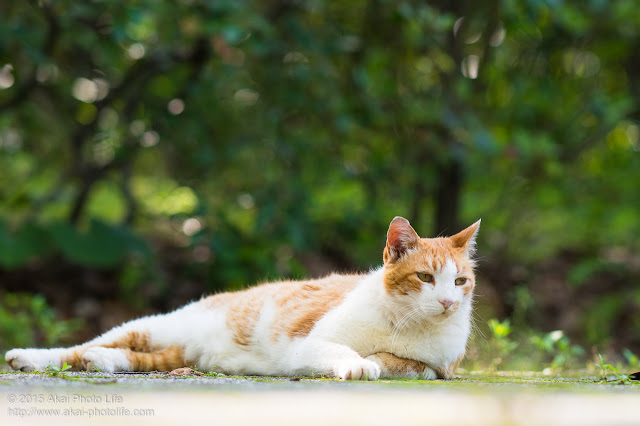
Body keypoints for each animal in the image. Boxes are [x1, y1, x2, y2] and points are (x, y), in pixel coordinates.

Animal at [3, 216, 480, 380]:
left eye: (460, 282)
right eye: (425, 277)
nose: (448, 304)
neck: (405, 323)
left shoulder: (438, 369)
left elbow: (403, 364)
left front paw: (377, 361)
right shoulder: (305, 345)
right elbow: (338, 348)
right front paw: (358, 363)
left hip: (175, 352)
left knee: (128, 357)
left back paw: (102, 363)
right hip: (155, 325)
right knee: (80, 346)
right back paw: (29, 357)